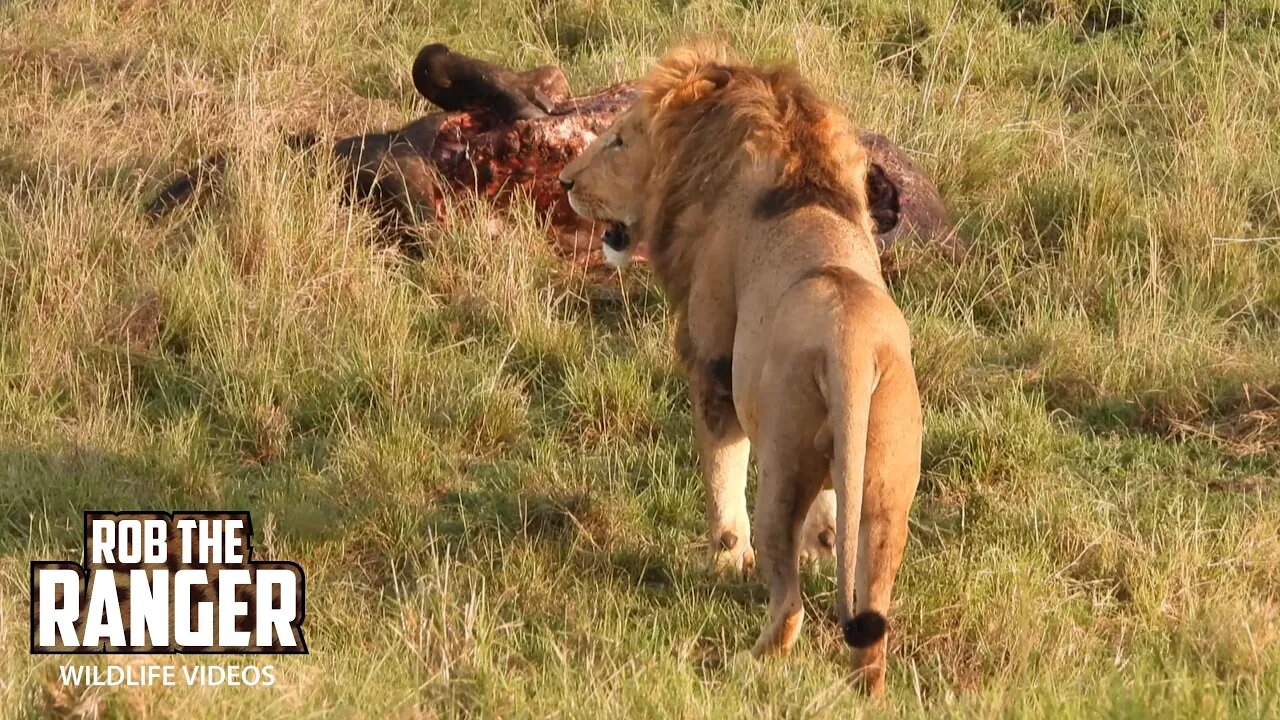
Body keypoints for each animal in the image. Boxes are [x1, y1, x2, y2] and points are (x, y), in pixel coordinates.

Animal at [560, 43, 921, 691]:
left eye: (620, 140)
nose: (565, 181)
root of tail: (851, 348)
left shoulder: (712, 360)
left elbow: (720, 468)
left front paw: (725, 560)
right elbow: (833, 517)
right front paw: (825, 542)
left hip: (781, 468)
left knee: (789, 603)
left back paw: (746, 663)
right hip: (887, 484)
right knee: (873, 619)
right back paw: (863, 688)